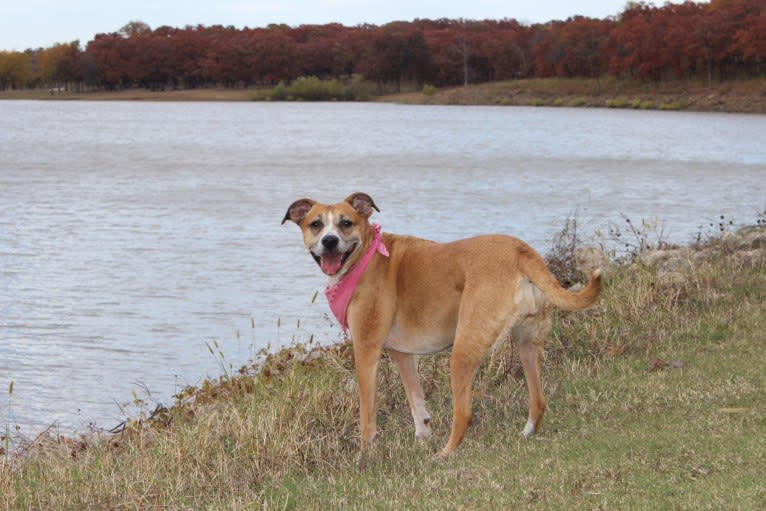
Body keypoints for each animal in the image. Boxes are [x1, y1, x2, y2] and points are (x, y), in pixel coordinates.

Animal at [284, 192, 604, 456]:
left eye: (346, 223)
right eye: (316, 224)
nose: (329, 241)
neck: (366, 255)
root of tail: (520, 252)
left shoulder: (366, 350)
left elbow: (367, 414)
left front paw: (365, 453)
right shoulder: (402, 355)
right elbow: (416, 402)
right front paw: (421, 437)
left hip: (462, 350)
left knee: (463, 414)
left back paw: (444, 454)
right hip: (527, 344)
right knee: (538, 400)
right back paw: (525, 434)